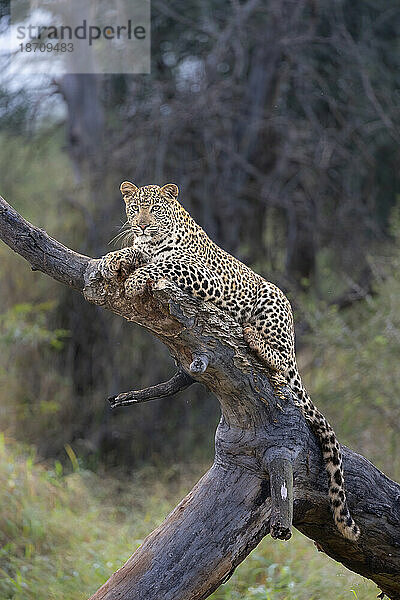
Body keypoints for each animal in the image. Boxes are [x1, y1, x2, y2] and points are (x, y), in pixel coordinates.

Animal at [99, 180, 360, 540]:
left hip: (271, 303)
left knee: (280, 362)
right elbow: (134, 254)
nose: (141, 225)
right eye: (136, 207)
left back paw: (255, 339)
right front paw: (111, 258)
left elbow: (164, 264)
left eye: (154, 209)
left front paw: (138, 277)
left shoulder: (203, 274)